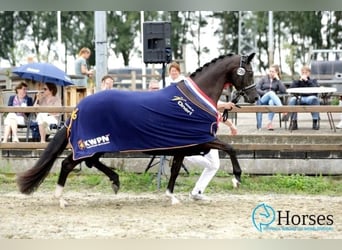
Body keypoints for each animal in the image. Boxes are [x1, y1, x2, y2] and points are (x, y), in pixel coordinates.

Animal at [16, 52, 256, 205]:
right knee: (68, 164)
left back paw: (114, 181)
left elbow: (175, 170)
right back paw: (61, 198)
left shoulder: (182, 146)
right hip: (91, 143)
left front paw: (171, 196)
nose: (254, 97)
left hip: (100, 145)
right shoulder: (200, 139)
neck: (193, 102)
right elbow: (230, 148)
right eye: (250, 72)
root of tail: (77, 109)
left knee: (92, 162)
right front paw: (237, 177)